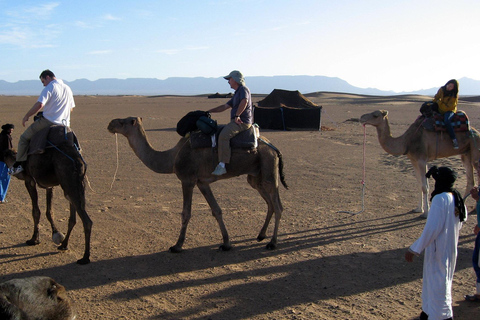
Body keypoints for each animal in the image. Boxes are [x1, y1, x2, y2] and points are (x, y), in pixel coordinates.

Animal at [3, 136, 92, 264]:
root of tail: (78, 161)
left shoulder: (29, 180)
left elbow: (36, 211)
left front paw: (34, 239)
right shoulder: (50, 186)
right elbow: (49, 212)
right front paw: (56, 233)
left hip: (69, 183)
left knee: (86, 221)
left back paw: (85, 257)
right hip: (74, 186)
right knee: (73, 218)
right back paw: (64, 245)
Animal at [108, 116, 288, 254]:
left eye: (123, 122)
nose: (110, 124)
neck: (172, 158)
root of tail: (274, 148)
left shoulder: (187, 180)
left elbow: (186, 213)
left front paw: (177, 246)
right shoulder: (202, 182)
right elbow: (217, 210)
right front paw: (226, 243)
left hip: (268, 165)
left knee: (278, 205)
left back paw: (272, 243)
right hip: (255, 175)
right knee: (269, 203)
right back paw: (261, 235)